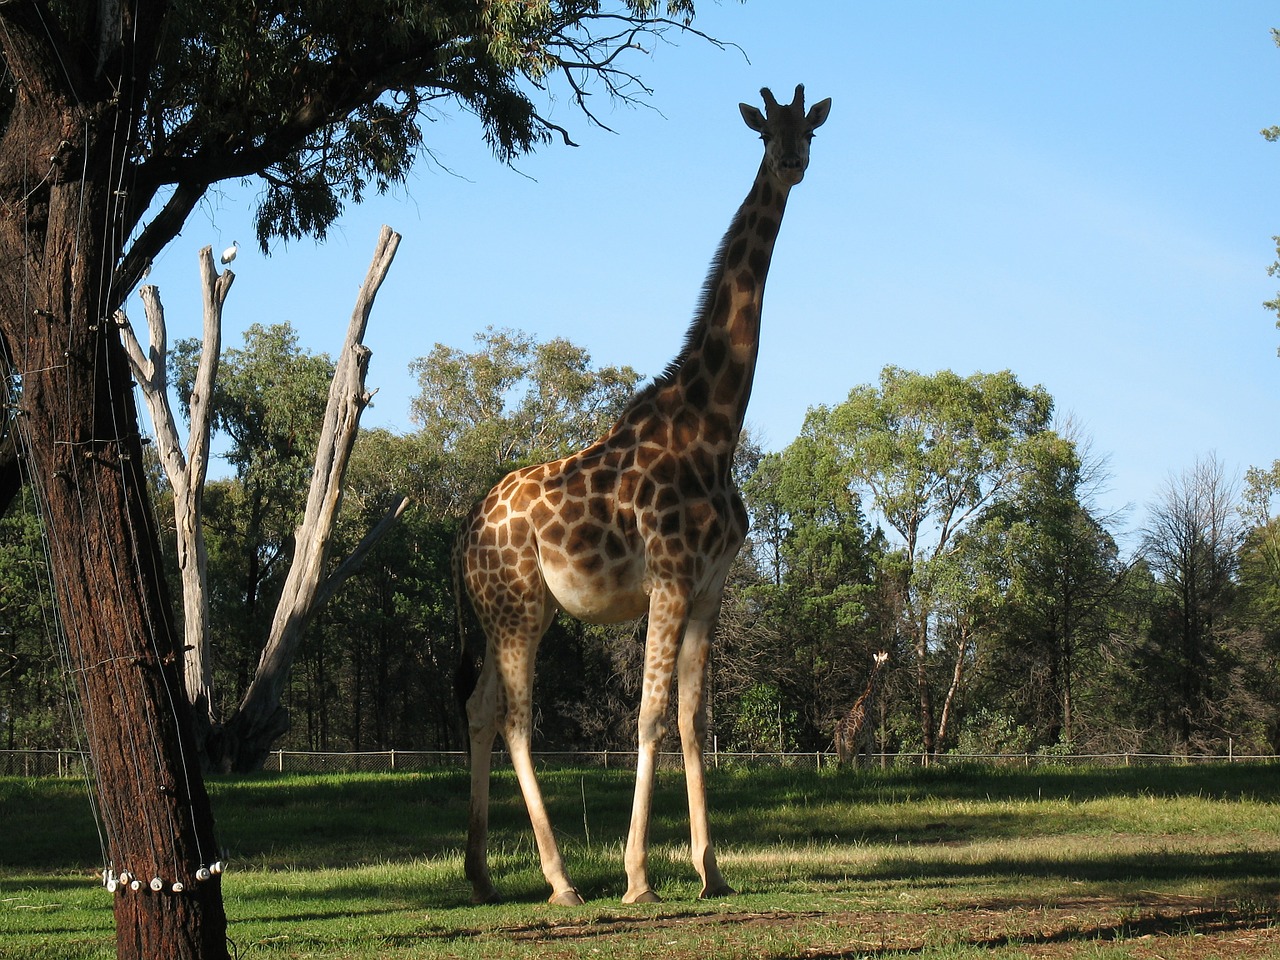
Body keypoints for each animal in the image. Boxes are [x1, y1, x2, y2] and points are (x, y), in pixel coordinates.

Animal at [455, 84, 834, 911]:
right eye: (767, 133)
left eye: (811, 132)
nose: (793, 161)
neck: (715, 425)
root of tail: (464, 536)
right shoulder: (669, 575)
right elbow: (650, 716)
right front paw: (637, 876)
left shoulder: (710, 584)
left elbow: (692, 719)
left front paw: (710, 868)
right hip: (520, 608)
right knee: (519, 719)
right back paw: (561, 879)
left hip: (511, 609)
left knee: (479, 708)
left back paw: (480, 874)